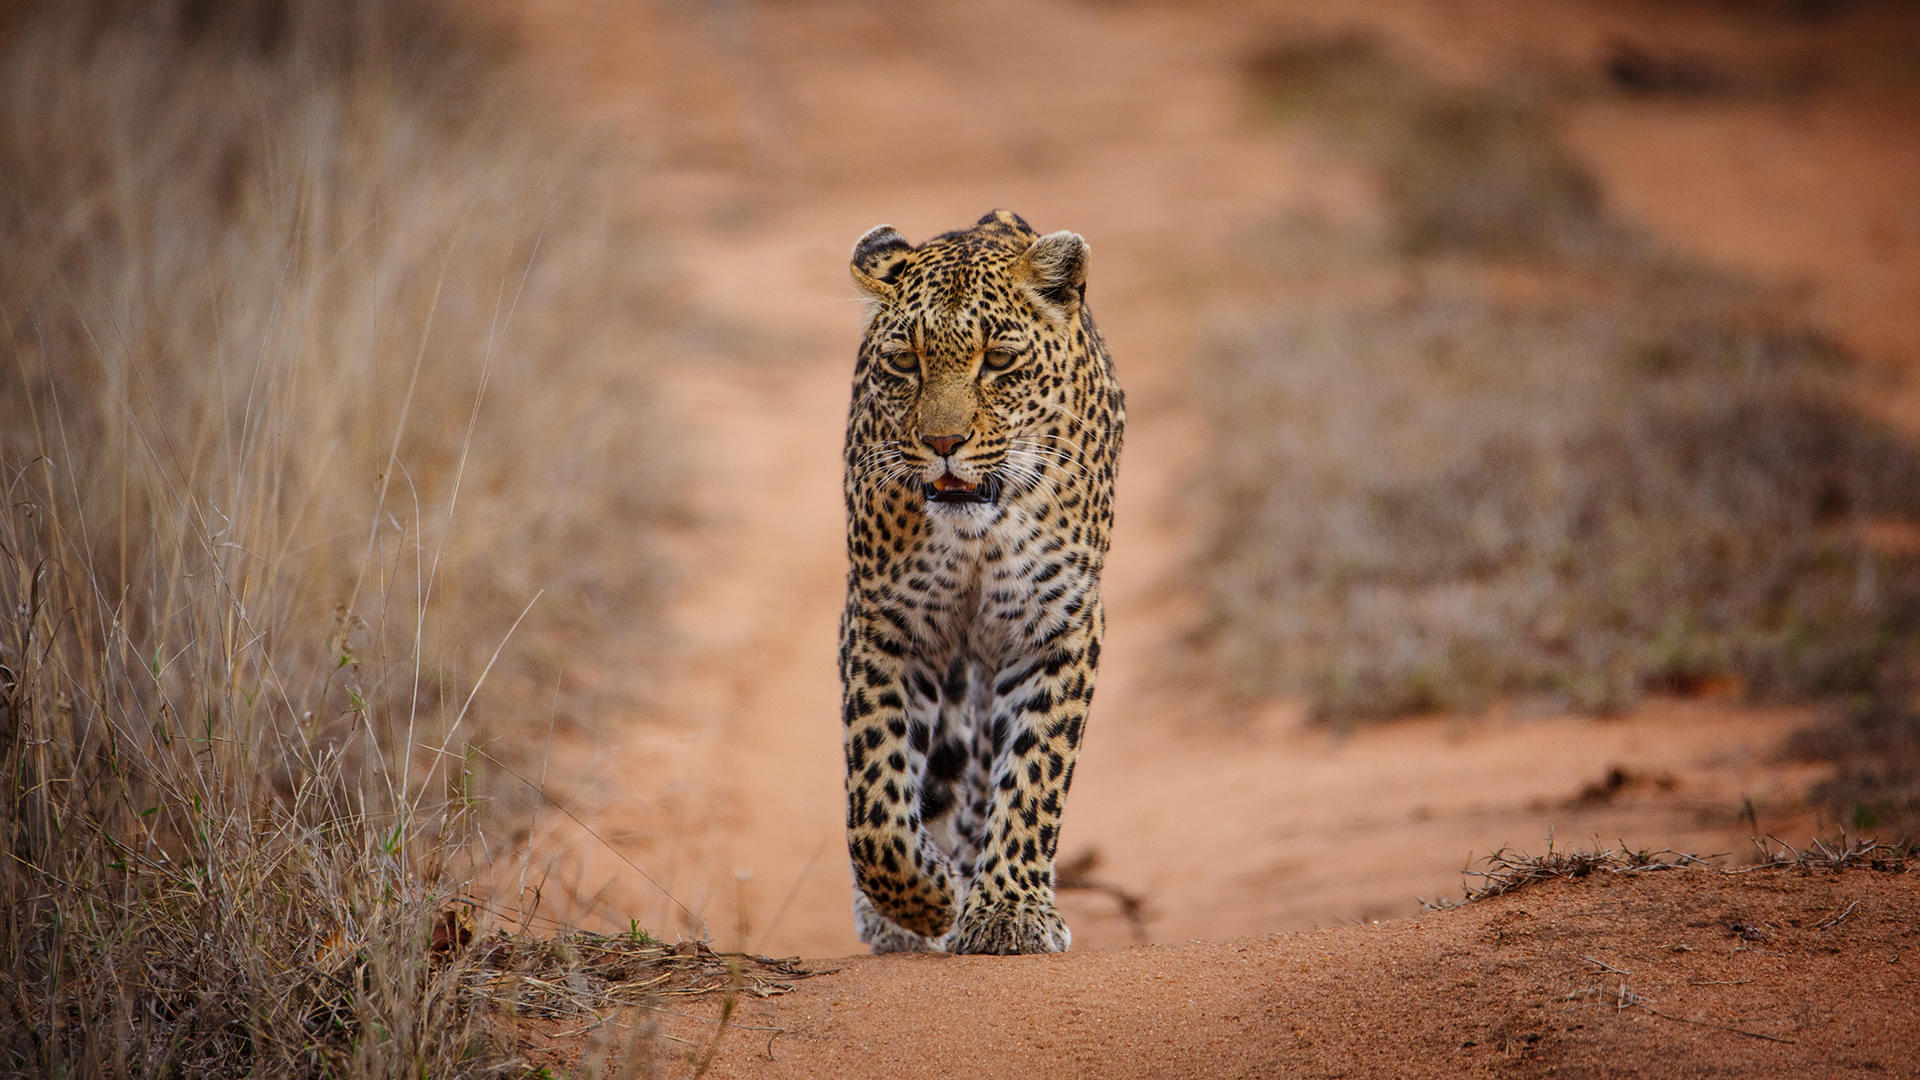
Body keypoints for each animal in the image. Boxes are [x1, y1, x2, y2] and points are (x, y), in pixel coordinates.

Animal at [837, 210, 1121, 949]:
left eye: (997, 361)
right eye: (905, 362)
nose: (943, 444)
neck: (975, 532)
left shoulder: (1055, 625)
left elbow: (1033, 776)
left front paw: (1007, 913)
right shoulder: (888, 625)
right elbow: (875, 803)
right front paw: (925, 902)